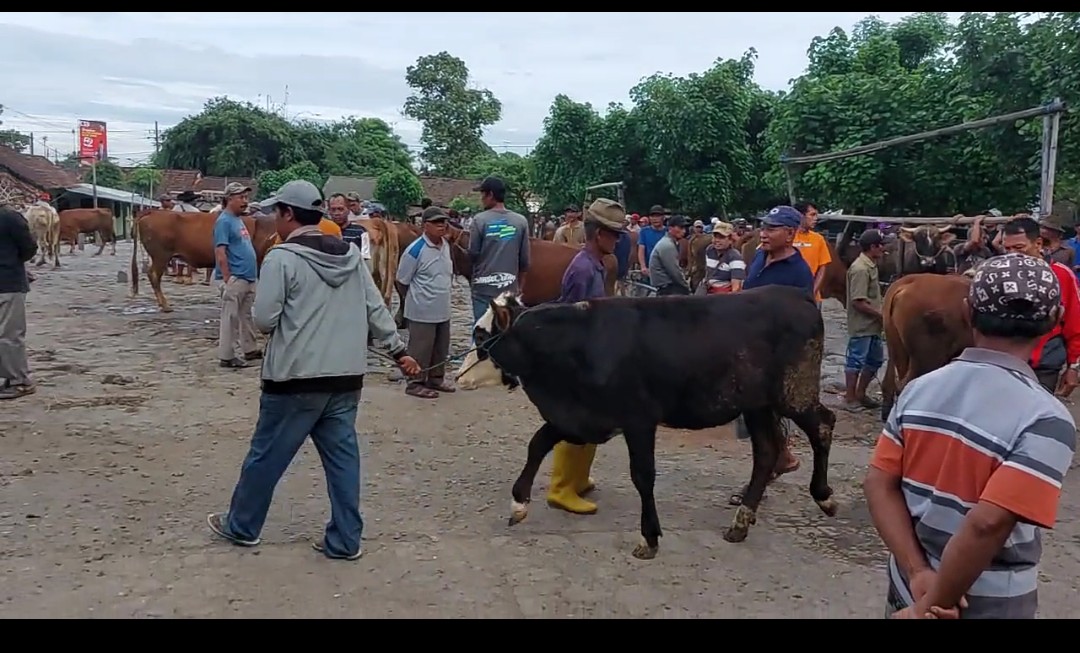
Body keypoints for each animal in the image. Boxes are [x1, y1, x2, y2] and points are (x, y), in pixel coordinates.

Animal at [477, 284, 838, 556]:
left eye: (482, 337)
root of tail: (794, 294)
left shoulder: (638, 420)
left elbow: (643, 476)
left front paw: (648, 537)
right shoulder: (581, 418)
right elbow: (537, 444)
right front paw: (518, 503)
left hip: (794, 393)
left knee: (823, 424)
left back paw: (824, 496)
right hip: (757, 405)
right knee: (765, 452)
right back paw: (740, 522)